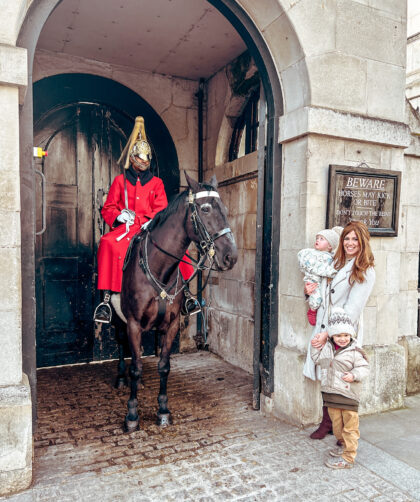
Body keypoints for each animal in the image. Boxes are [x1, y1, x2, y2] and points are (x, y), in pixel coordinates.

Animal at [116, 173, 238, 432]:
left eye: (224, 208)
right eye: (205, 208)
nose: (231, 256)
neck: (159, 268)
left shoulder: (171, 325)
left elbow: (164, 366)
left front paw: (163, 410)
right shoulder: (133, 324)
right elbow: (135, 367)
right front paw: (132, 414)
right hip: (119, 320)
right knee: (121, 344)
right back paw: (121, 378)